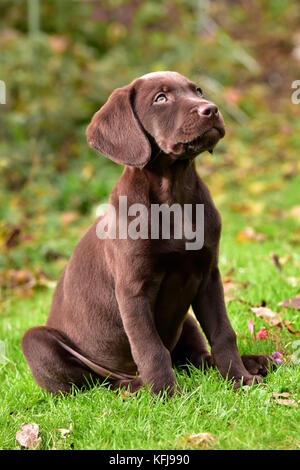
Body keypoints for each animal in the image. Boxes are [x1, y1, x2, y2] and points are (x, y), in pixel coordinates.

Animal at [22, 72, 274, 396]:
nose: (211, 109)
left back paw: (255, 361)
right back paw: (136, 387)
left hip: (186, 321)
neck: (175, 194)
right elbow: (150, 348)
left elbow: (222, 332)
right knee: (95, 384)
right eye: (161, 99)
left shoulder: (208, 276)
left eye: (197, 90)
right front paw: (167, 395)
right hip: (38, 342)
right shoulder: (133, 289)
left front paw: (239, 378)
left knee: (195, 360)